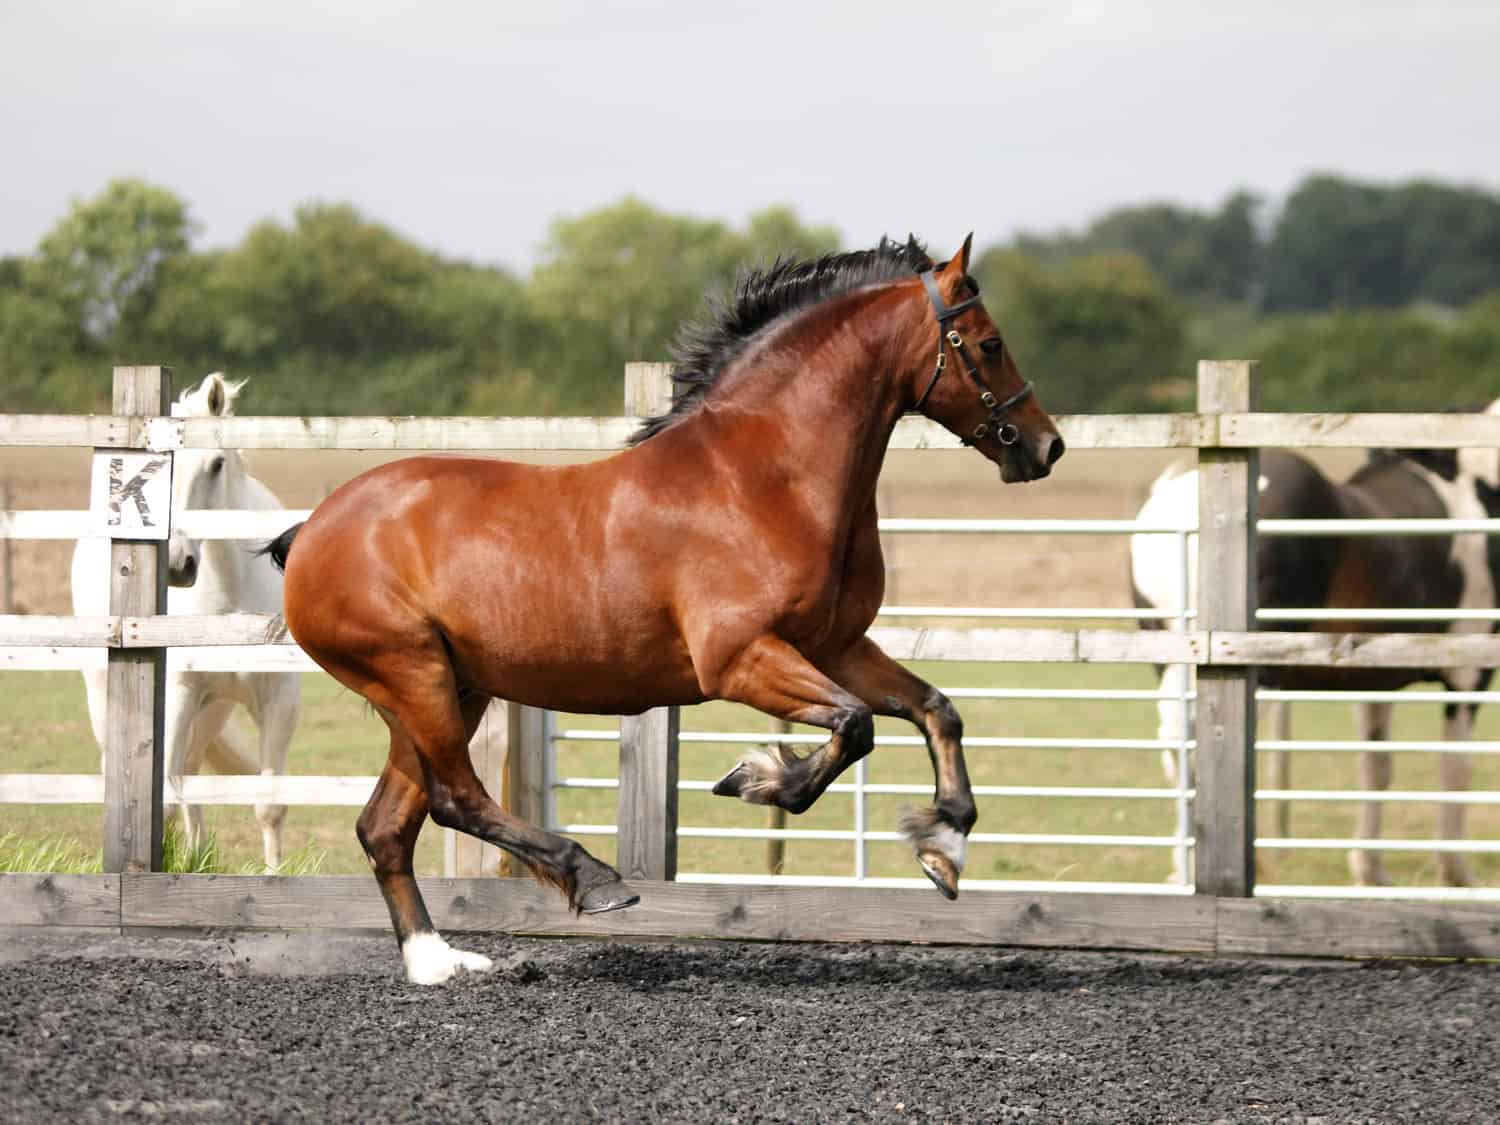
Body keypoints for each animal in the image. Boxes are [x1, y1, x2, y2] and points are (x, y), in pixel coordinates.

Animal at [72, 373, 302, 869]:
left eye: (216, 464)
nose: (178, 564)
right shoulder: (177, 695)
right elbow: (163, 795)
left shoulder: (278, 701)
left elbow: (269, 806)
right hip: (107, 696)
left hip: (212, 711)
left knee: (191, 776)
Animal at [262, 236, 1065, 984]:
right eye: (989, 343)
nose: (1045, 445)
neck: (762, 478)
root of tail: (315, 529)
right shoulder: (738, 659)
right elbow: (855, 725)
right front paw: (758, 777)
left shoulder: (836, 645)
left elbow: (934, 710)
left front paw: (943, 845)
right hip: (412, 675)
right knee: (456, 799)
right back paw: (594, 880)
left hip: (448, 687)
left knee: (387, 826)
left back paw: (439, 961)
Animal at [1131, 430, 1500, 887]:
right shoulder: (1469, 674)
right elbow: (1457, 766)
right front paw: (1456, 873)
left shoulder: (1376, 680)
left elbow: (1376, 766)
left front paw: (1370, 869)